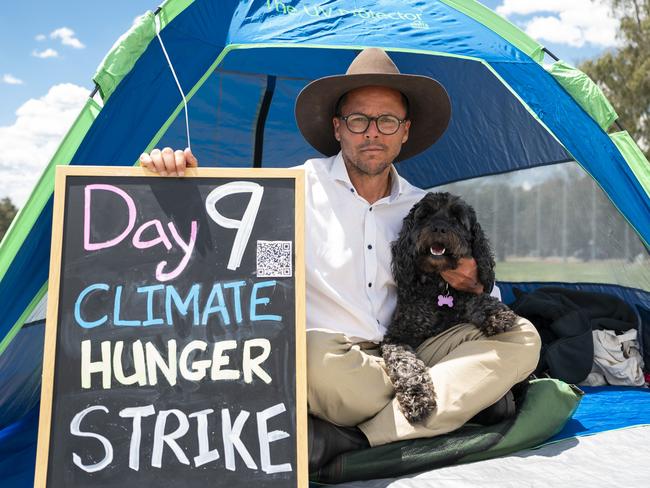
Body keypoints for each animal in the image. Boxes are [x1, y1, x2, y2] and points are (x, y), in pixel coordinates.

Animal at [380, 191, 516, 424]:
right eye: (425, 215)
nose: (439, 228)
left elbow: (477, 298)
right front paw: (417, 397)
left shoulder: (465, 294)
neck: (438, 285)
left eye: (457, 218)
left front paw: (497, 314)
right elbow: (405, 364)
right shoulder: (397, 335)